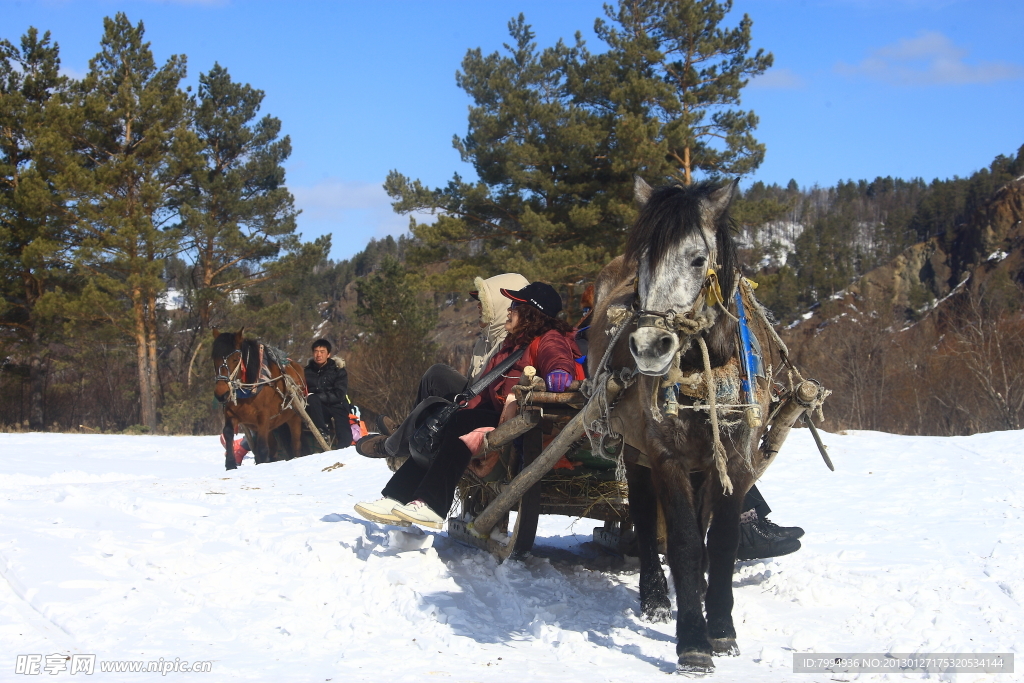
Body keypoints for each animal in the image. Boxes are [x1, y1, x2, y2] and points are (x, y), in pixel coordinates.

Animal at [211, 329, 307, 471]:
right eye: (214, 359)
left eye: (235, 359)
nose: (221, 393)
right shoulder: (231, 414)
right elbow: (228, 432)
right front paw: (230, 464)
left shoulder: (263, 417)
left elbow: (262, 448)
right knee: (273, 447)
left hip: (294, 416)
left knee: (295, 444)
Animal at [589, 179, 778, 675]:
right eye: (642, 261)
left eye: (696, 259)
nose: (649, 345)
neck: (704, 366)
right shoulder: (666, 455)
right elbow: (685, 543)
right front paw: (693, 641)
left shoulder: (737, 459)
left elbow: (722, 542)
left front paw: (722, 628)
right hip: (635, 449)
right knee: (642, 512)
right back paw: (656, 596)